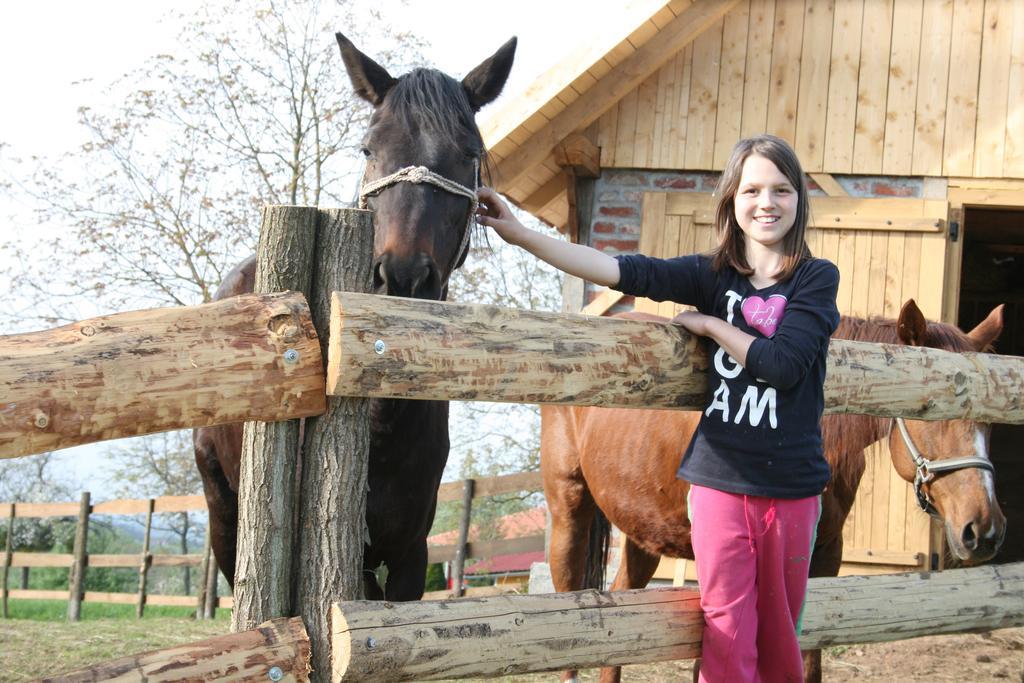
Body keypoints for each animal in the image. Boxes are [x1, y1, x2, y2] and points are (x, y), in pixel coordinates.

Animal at [192, 33, 516, 598]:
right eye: (369, 148)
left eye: (469, 152)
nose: (403, 277)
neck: (379, 424)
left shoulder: (409, 555)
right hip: (225, 514)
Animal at [544, 301, 1007, 683]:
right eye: (930, 407)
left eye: (991, 417)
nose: (983, 530)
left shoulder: (823, 559)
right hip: (569, 512)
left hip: (645, 533)